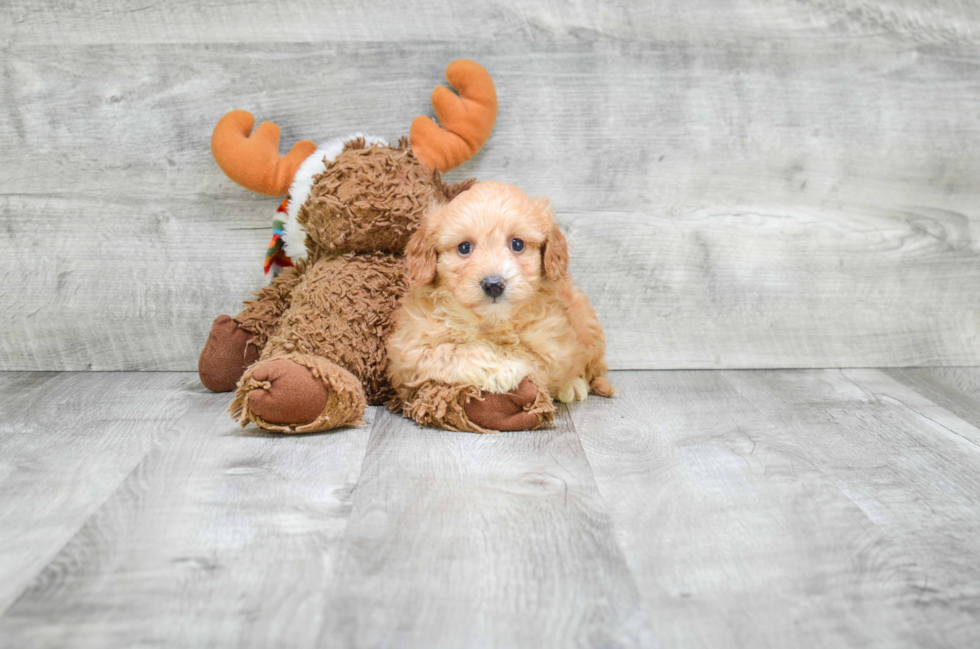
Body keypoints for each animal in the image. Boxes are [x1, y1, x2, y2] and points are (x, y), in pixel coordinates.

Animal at [384, 180, 608, 430]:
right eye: (464, 247)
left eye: (517, 244)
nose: (493, 284)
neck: (492, 320)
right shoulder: (409, 352)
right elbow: (455, 350)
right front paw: (501, 369)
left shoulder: (552, 347)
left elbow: (526, 355)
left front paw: (509, 366)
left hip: (587, 322)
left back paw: (574, 384)